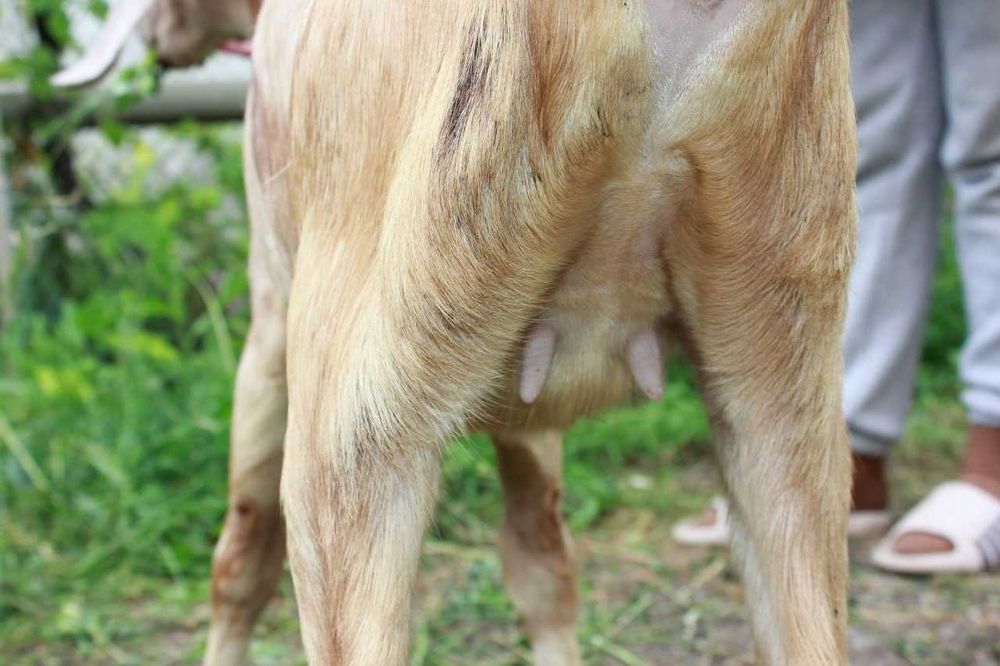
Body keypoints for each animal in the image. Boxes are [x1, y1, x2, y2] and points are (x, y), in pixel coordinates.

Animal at [56, 1, 856, 663]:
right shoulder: (532, 407)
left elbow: (240, 559)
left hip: (358, 403)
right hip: (784, 359)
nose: (162, 49)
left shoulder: (269, 325)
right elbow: (543, 562)